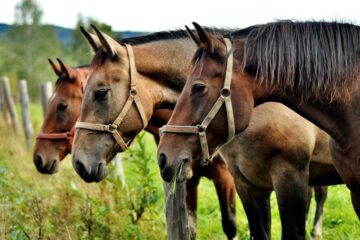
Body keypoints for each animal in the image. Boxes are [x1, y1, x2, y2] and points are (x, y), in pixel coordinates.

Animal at [33, 58, 236, 238]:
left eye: (62, 106)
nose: (38, 158)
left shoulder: (226, 178)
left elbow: (229, 226)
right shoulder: (189, 179)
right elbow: (190, 229)